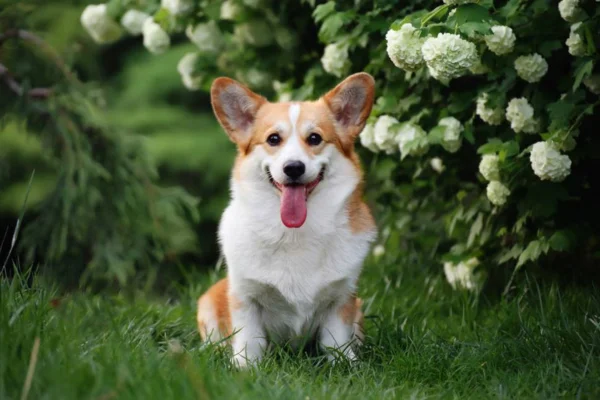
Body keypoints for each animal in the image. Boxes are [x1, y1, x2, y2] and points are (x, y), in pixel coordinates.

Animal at [197, 72, 376, 368]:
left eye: (314, 138)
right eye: (273, 139)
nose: (293, 168)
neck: (295, 233)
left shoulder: (341, 300)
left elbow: (336, 345)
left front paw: (346, 366)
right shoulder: (245, 298)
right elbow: (249, 344)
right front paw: (245, 369)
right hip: (209, 300)